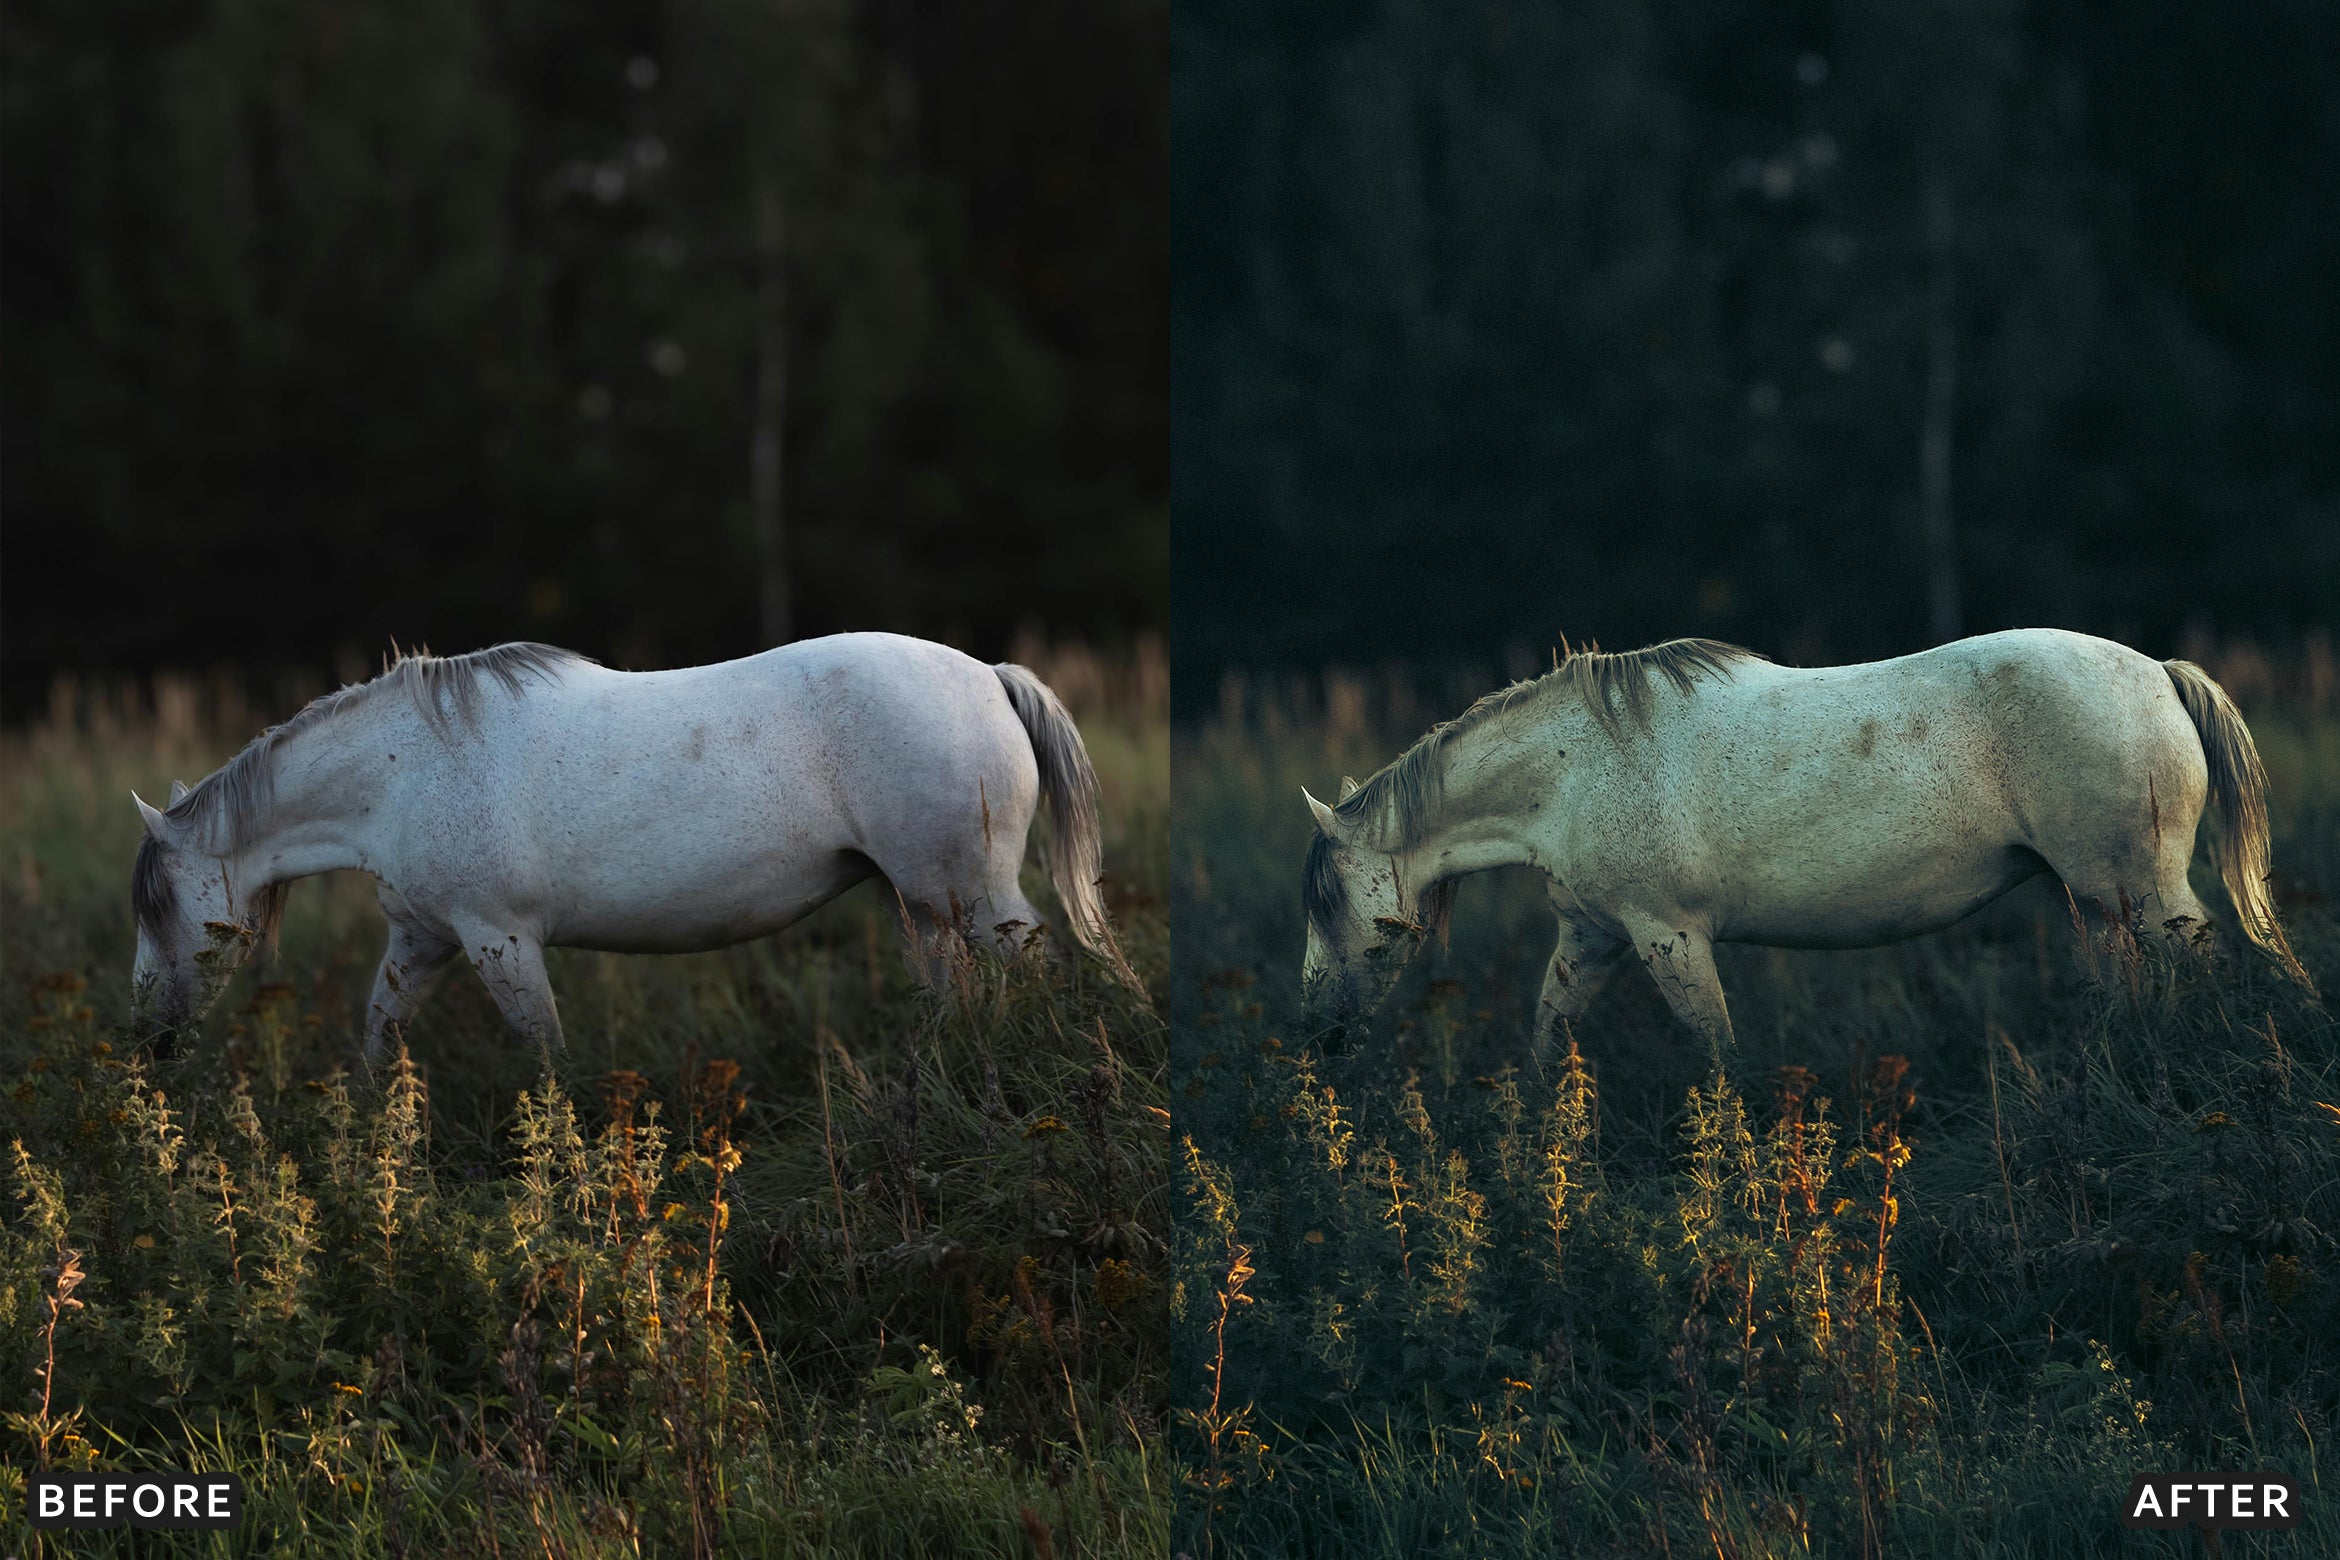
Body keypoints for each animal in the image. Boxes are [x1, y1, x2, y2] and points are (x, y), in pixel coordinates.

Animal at [131, 634, 1140, 1058]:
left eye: (163, 910)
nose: (151, 1041)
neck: (406, 767)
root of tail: (989, 676)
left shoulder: (500, 941)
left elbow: (547, 1063)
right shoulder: (421, 941)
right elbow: (379, 1040)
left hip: (974, 895)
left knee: (1041, 970)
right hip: (923, 904)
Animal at [1300, 629, 2311, 1051]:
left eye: (1342, 914)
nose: (1321, 1035)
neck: (1574, 767)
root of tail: (2159, 672)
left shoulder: (1670, 937)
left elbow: (1720, 1060)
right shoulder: (1591, 939)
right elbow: (1549, 1042)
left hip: (2144, 892)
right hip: (2098, 902)